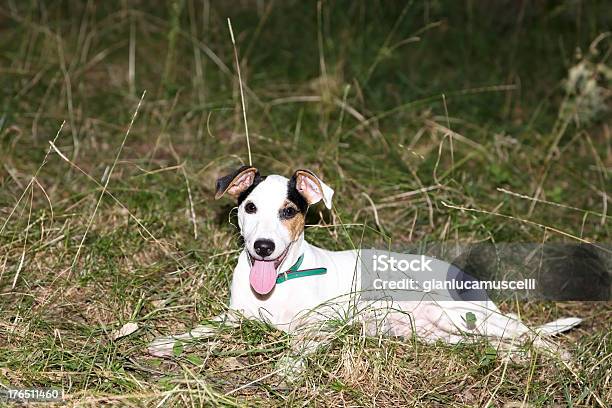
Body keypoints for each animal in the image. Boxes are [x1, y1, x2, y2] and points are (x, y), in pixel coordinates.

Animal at [149, 166, 584, 372]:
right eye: (250, 207)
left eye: (289, 212)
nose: (264, 247)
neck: (283, 281)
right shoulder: (235, 316)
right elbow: (202, 328)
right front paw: (170, 341)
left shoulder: (321, 324)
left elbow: (298, 344)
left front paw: (289, 367)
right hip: (443, 333)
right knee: (500, 344)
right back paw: (515, 357)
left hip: (463, 314)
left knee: (527, 332)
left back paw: (561, 358)